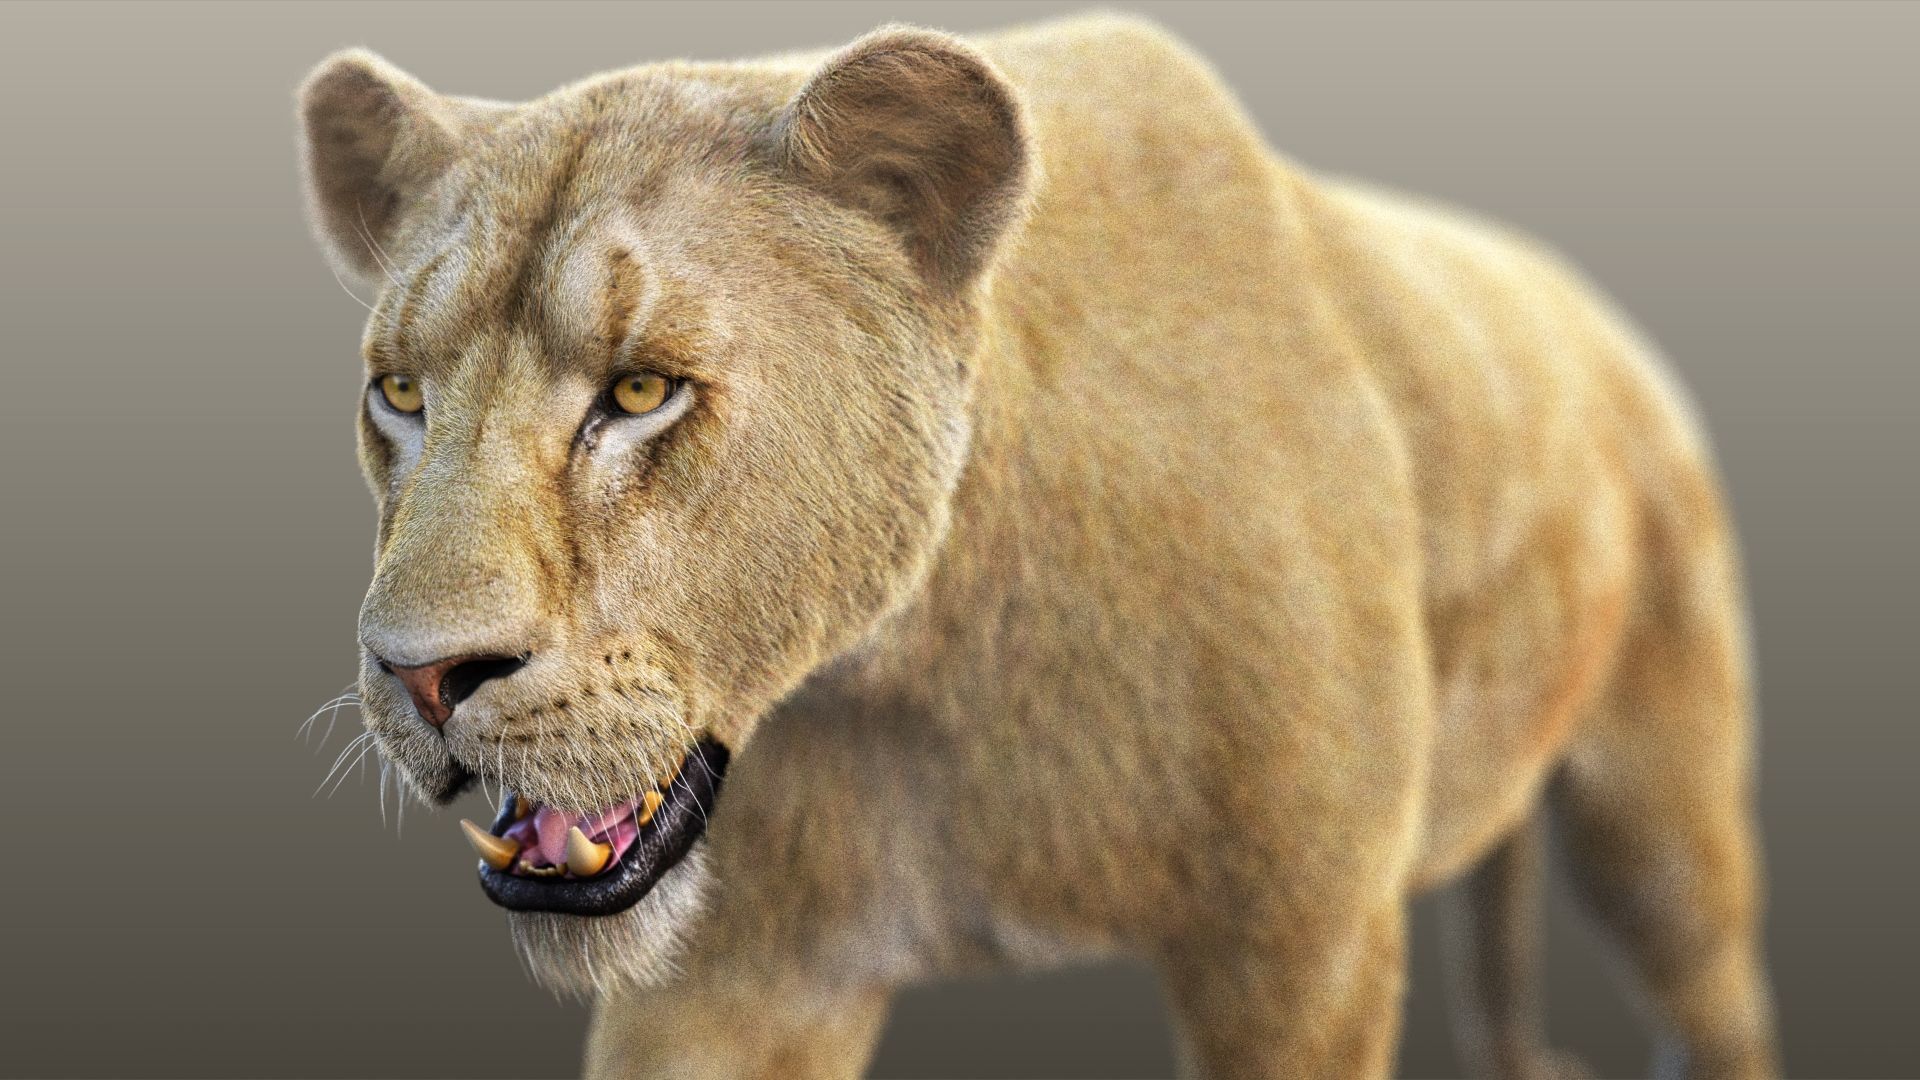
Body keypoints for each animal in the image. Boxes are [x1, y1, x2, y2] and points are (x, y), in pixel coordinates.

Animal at [296, 13, 1778, 1079]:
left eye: (643, 389)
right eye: (402, 393)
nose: (418, 674)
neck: (921, 677)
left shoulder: (1304, 948)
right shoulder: (733, 983)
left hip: (1659, 814)